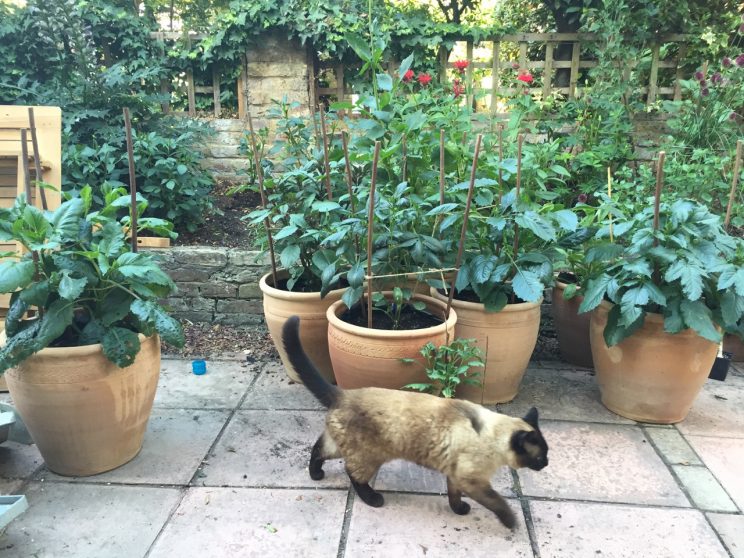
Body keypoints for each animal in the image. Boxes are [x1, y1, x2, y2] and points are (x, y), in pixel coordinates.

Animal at [282, 316, 548, 528]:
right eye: (540, 457)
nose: (546, 464)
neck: (495, 437)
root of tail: (343, 394)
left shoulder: (455, 475)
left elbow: (454, 496)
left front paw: (459, 511)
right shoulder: (472, 480)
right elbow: (498, 502)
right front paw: (512, 522)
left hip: (341, 446)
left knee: (318, 451)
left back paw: (316, 475)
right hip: (369, 456)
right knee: (353, 475)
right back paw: (373, 499)